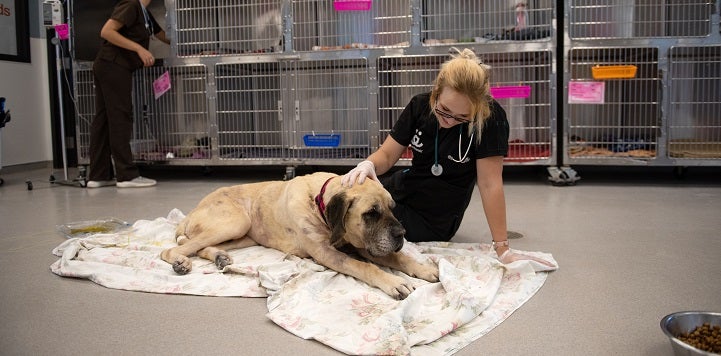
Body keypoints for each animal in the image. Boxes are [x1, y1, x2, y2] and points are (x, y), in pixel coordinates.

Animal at [160, 171, 436, 298]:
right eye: (371, 213)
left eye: (392, 208)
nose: (401, 234)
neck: (319, 202)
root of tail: (190, 212)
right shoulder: (327, 253)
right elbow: (364, 267)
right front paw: (393, 282)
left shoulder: (362, 245)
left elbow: (400, 258)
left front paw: (424, 268)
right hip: (236, 221)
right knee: (172, 249)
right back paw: (181, 262)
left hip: (243, 233)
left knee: (199, 246)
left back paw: (220, 257)